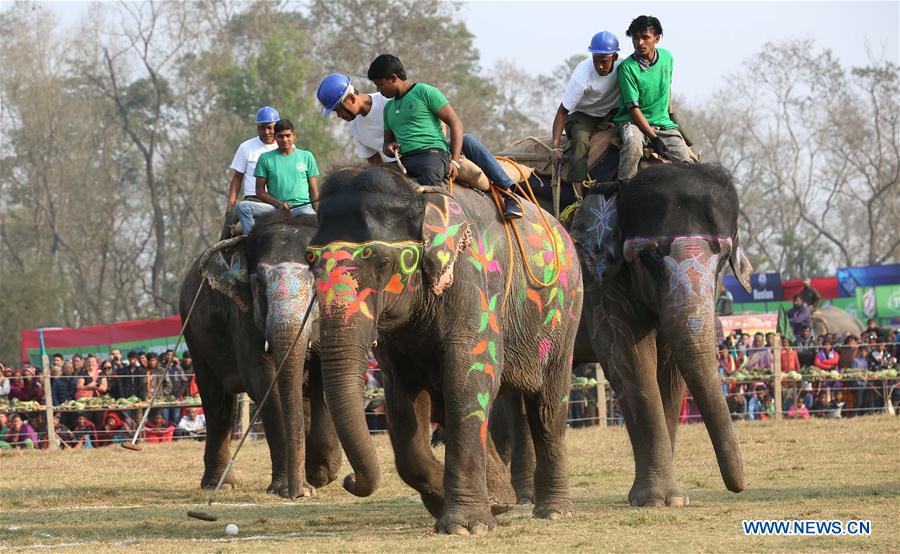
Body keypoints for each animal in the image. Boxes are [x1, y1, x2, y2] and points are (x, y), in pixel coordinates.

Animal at [180, 209, 342, 498]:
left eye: (317, 283)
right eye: (258, 283)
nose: (298, 493)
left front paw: (322, 474)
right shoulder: (242, 314)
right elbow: (264, 379)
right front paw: (289, 488)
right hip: (194, 332)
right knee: (217, 402)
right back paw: (220, 484)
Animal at [304, 167, 584, 532]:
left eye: (382, 262)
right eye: (310, 261)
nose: (348, 480)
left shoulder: (473, 283)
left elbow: (469, 378)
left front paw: (466, 526)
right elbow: (402, 401)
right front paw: (457, 500)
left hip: (565, 313)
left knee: (547, 408)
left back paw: (554, 511)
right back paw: (501, 497)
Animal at [568, 163, 752, 504]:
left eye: (723, 259)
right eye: (649, 257)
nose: (739, 487)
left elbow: (670, 368)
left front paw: (674, 499)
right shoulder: (599, 277)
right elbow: (627, 357)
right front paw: (655, 499)